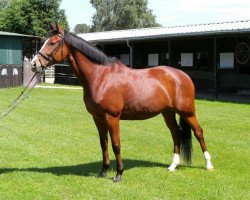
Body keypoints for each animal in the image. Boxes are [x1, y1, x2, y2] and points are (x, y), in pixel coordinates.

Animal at [32, 24, 214, 182]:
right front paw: (103, 171)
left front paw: (119, 174)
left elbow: (116, 144)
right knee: (176, 133)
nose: (34, 64)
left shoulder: (112, 117)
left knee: (199, 132)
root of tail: (182, 75)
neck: (101, 77)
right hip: (168, 112)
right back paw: (173, 166)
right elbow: (103, 144)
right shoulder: (97, 118)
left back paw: (208, 164)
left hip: (187, 112)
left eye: (53, 43)